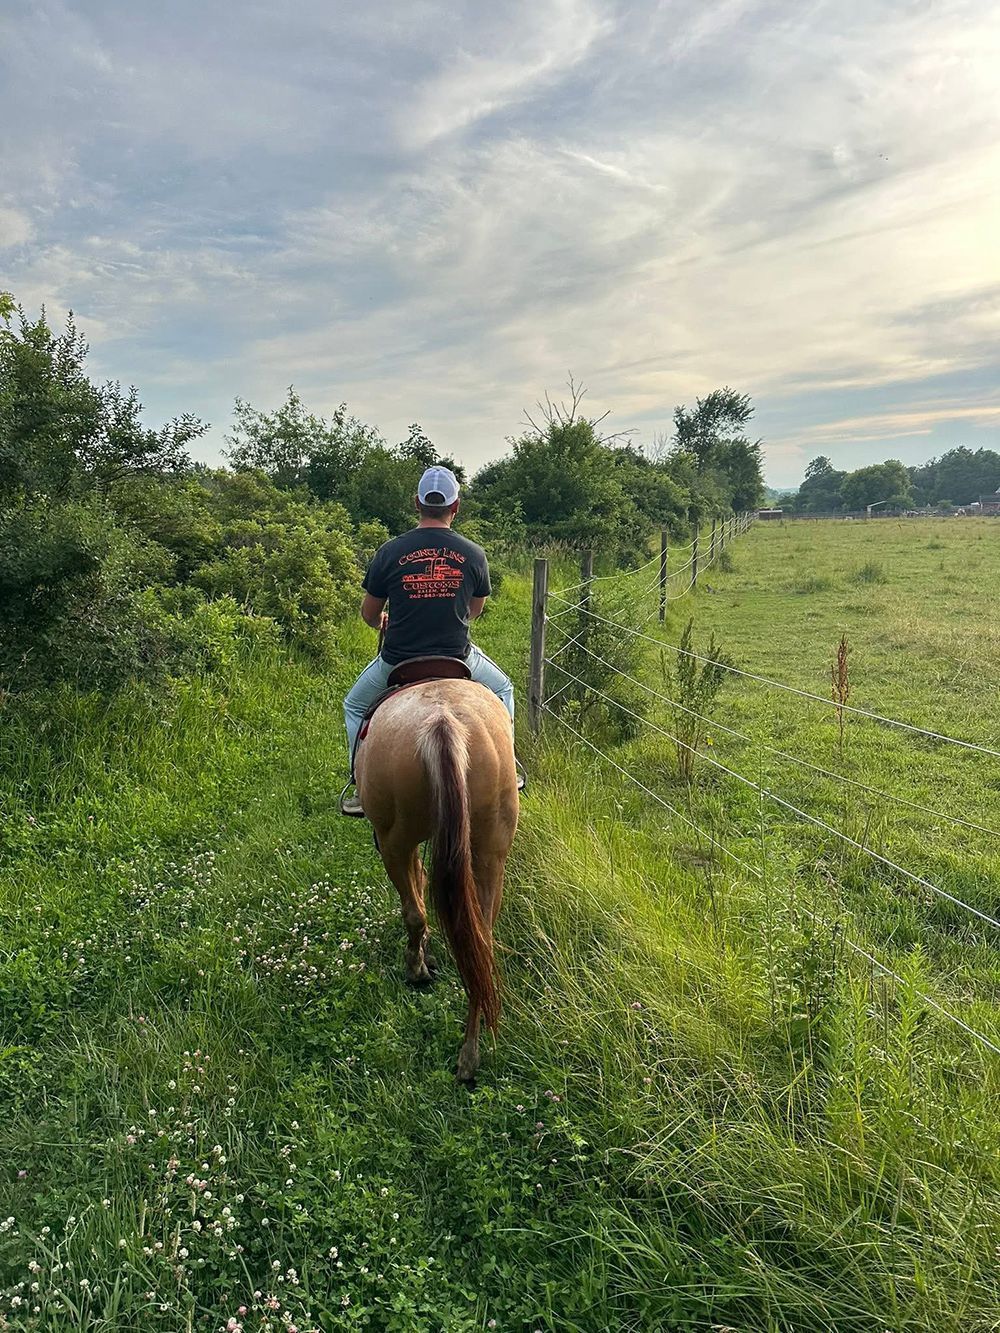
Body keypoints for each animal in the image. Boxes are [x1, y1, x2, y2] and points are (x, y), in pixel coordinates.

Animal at [355, 678, 519, 1082]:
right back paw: (470, 1055)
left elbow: (416, 892)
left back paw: (415, 970)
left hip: (393, 839)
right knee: (480, 944)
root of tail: (444, 725)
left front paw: (422, 959)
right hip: (490, 852)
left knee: (414, 911)